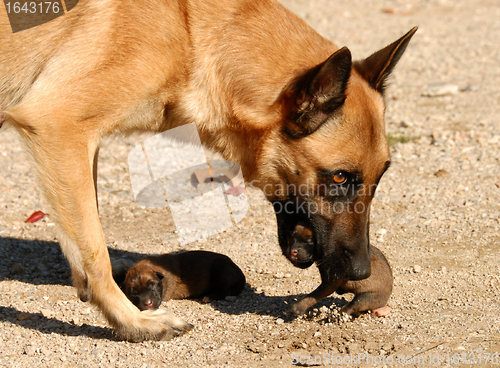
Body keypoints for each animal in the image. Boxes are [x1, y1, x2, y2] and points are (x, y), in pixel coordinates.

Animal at [0, 0, 416, 342]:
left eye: (380, 177)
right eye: (340, 177)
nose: (362, 273)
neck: (190, 30)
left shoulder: (79, 141)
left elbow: (86, 234)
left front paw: (88, 286)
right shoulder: (58, 126)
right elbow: (93, 251)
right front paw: (133, 322)